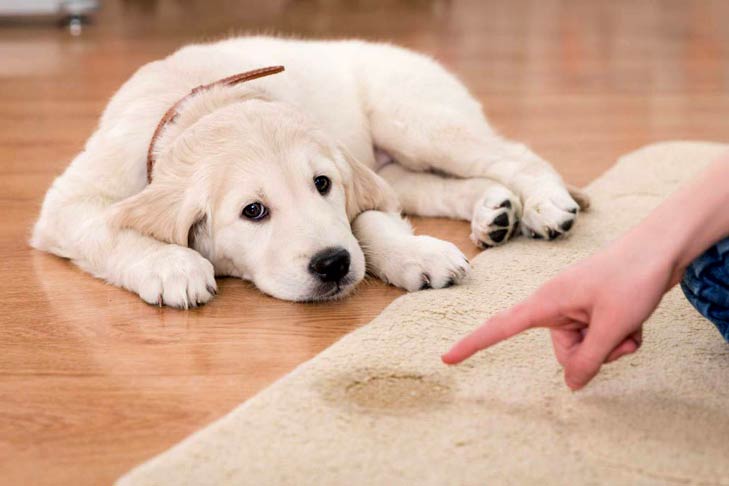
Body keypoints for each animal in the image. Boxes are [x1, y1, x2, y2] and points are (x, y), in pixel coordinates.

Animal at [31, 37, 584, 308]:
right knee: (438, 187)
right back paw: (495, 211)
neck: (204, 101)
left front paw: (415, 253)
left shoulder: (356, 182)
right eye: (253, 211)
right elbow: (108, 228)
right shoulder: (68, 203)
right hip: (400, 163)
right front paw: (172, 267)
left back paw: (544, 205)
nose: (333, 264)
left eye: (322, 185)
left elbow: (367, 221)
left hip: (416, 120)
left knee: (514, 155)